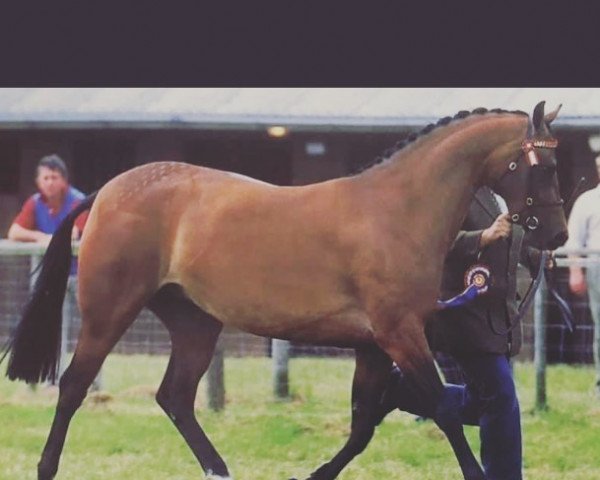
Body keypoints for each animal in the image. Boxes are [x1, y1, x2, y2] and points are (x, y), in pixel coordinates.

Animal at [3, 99, 568, 478]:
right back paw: (47, 467)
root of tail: (107, 191)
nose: (556, 236)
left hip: (195, 322)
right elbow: (444, 413)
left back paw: (220, 469)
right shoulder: (400, 334)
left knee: (175, 397)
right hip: (110, 309)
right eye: (542, 166)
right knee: (75, 385)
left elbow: (364, 425)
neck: (396, 211)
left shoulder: (374, 345)